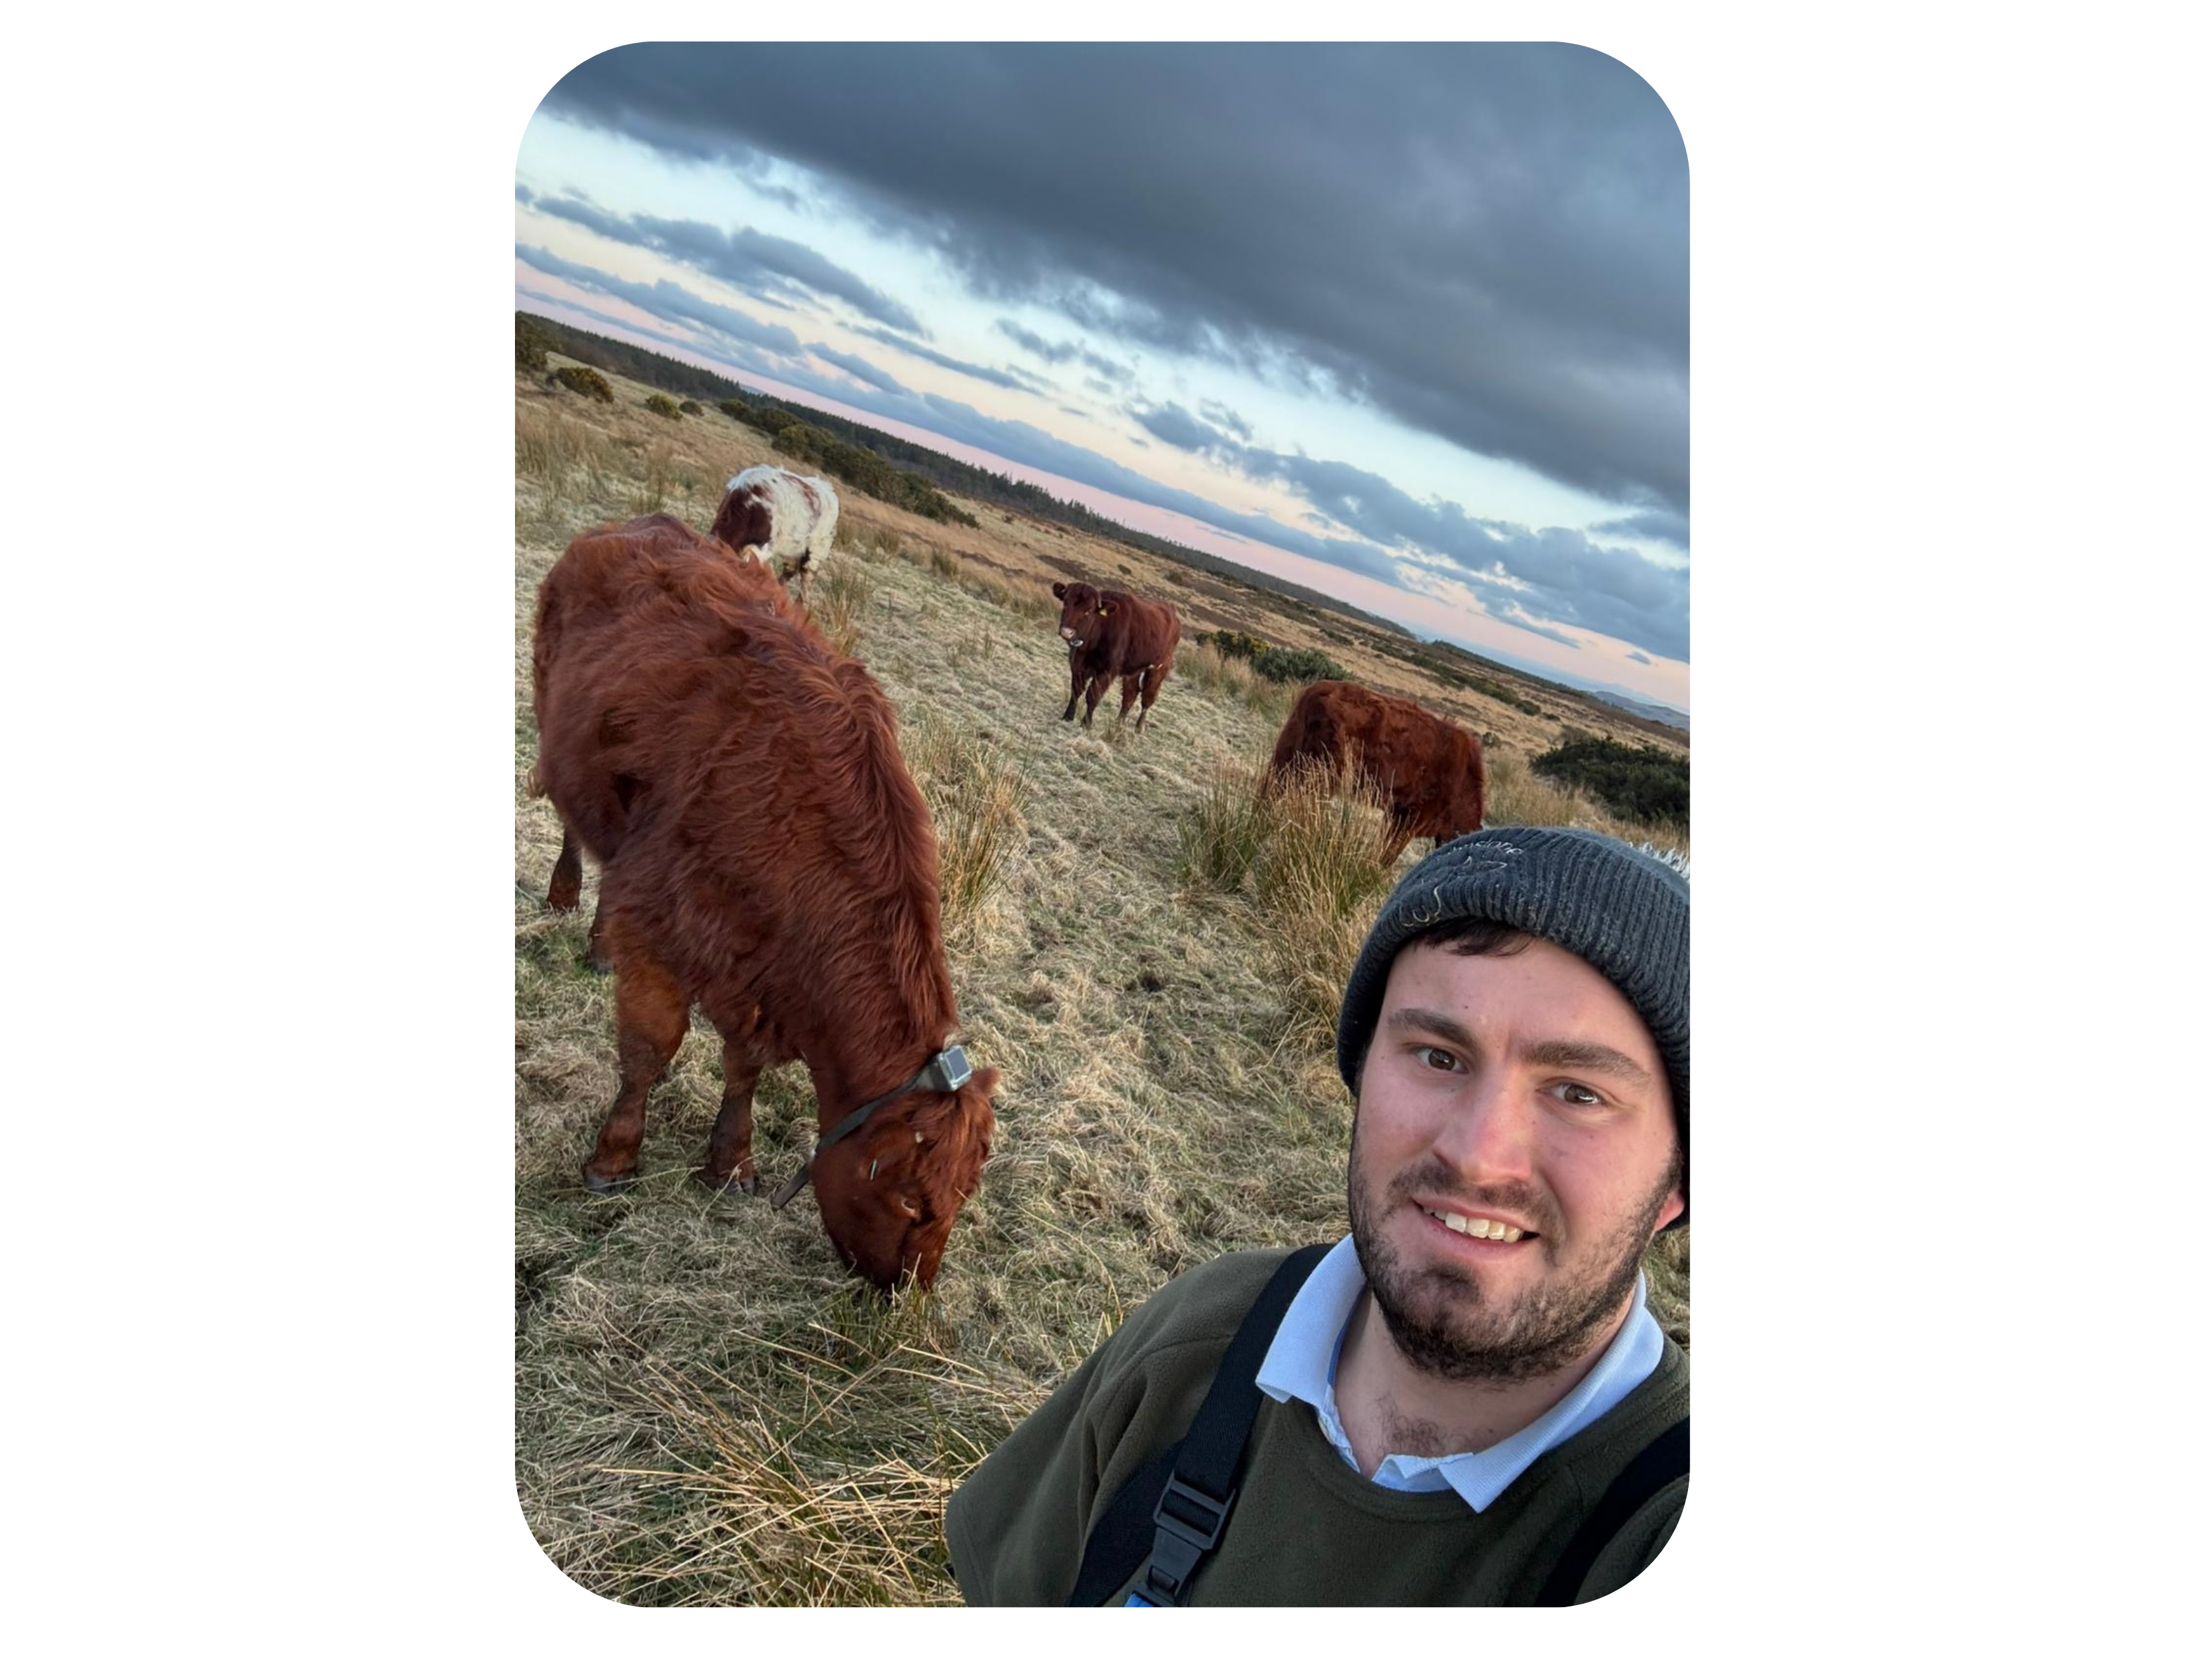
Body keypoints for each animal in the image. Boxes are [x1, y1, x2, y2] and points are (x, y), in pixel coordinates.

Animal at [530, 512, 998, 1291]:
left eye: (962, 1199)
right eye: (910, 1201)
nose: (905, 1292)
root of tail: (640, 522)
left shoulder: (752, 965)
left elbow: (742, 1066)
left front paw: (730, 1162)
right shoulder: (665, 920)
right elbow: (649, 1048)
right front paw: (614, 1158)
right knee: (576, 831)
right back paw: (573, 908)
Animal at [710, 464, 840, 606]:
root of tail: (828, 488)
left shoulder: (762, 548)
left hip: (818, 550)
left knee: (806, 582)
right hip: (793, 548)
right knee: (789, 571)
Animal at [1050, 579, 1181, 733]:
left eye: (1089, 611)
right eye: (1065, 603)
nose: (1067, 632)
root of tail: (1172, 613)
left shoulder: (1108, 671)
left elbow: (1093, 696)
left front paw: (1086, 723)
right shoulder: (1077, 665)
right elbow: (1076, 691)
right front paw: (1068, 716)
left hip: (1159, 668)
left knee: (1148, 697)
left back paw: (1139, 727)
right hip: (1134, 670)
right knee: (1130, 695)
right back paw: (1118, 723)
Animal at [1264, 679, 1488, 865]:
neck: (1463, 783)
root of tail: (1318, 690)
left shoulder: (1395, 813)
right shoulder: (1409, 819)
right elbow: (1388, 855)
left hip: (1286, 755)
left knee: (1269, 791)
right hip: (1325, 775)